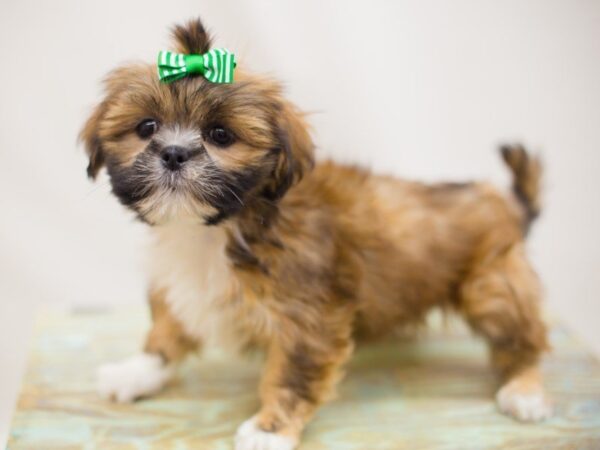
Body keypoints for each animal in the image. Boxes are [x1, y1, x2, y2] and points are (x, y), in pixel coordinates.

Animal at [84, 17, 552, 450]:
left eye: (220, 134)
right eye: (146, 127)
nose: (174, 153)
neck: (215, 228)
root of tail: (506, 202)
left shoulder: (308, 317)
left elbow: (293, 372)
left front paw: (269, 429)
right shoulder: (181, 286)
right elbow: (166, 331)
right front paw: (138, 371)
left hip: (492, 286)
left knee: (523, 337)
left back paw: (524, 389)